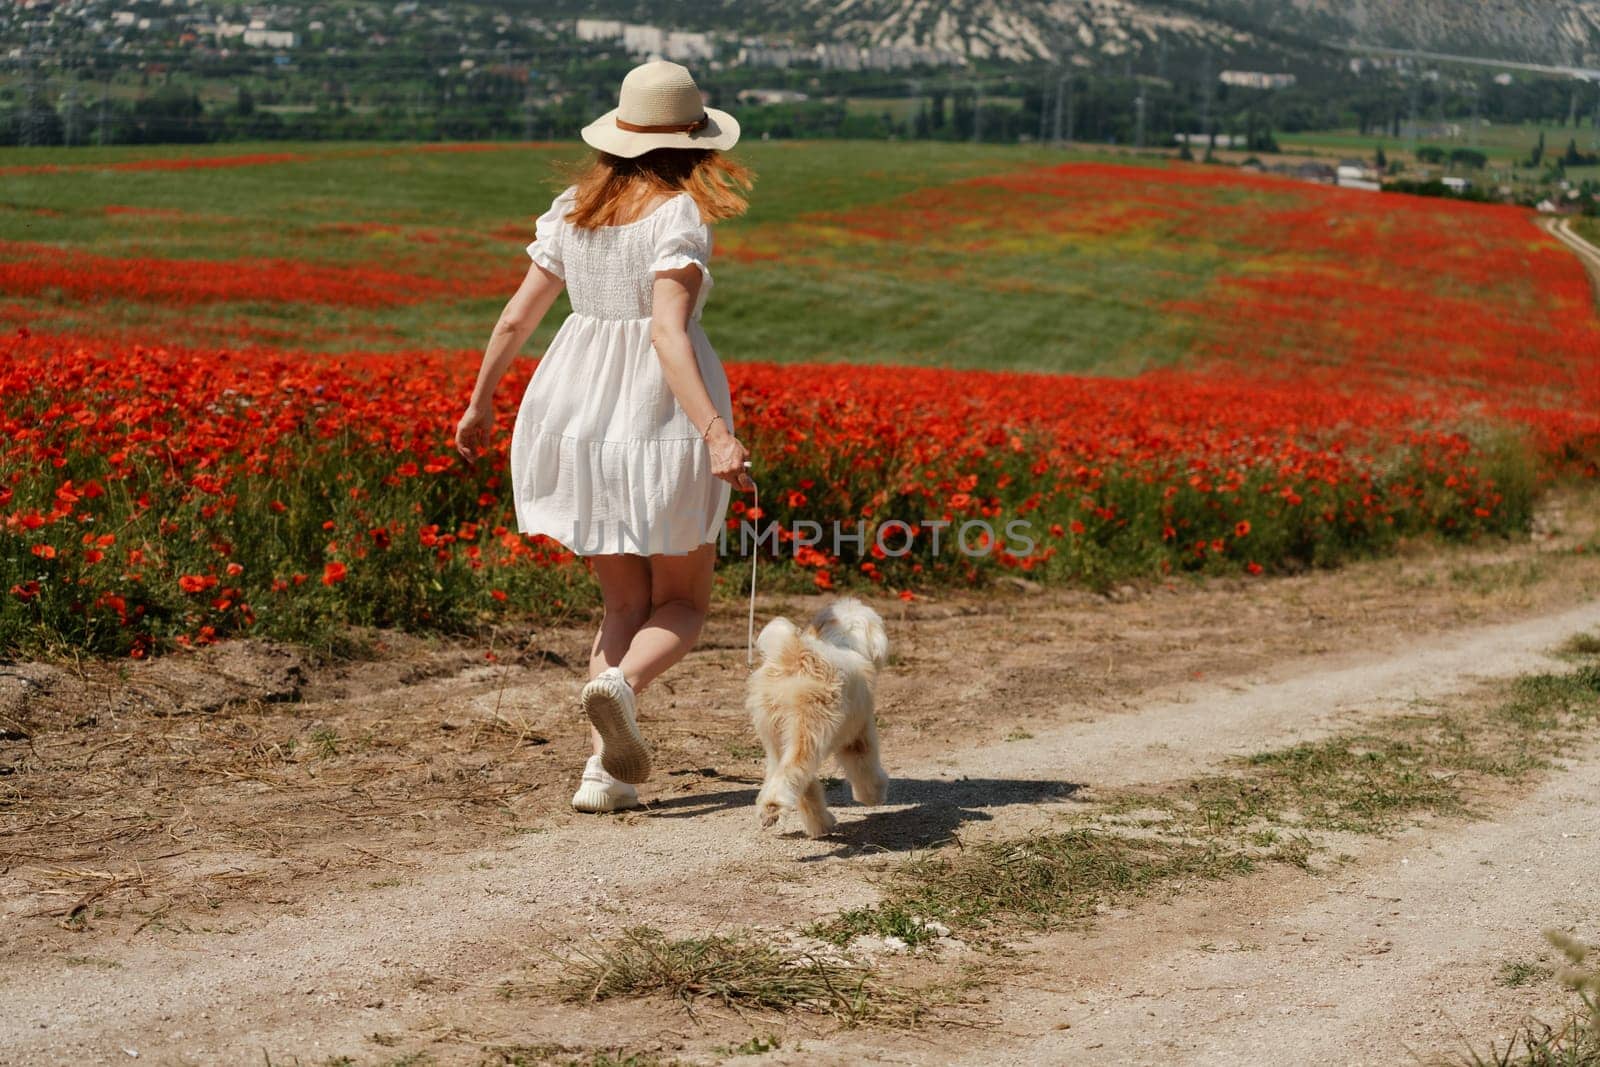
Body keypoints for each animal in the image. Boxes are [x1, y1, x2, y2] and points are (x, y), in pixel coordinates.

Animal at [745, 598, 896, 838]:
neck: (844, 641)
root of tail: (795, 654)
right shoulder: (859, 735)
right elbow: (865, 767)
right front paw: (874, 795)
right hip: (810, 729)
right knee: (793, 770)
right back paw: (774, 808)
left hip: (775, 735)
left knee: (802, 783)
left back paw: (820, 824)